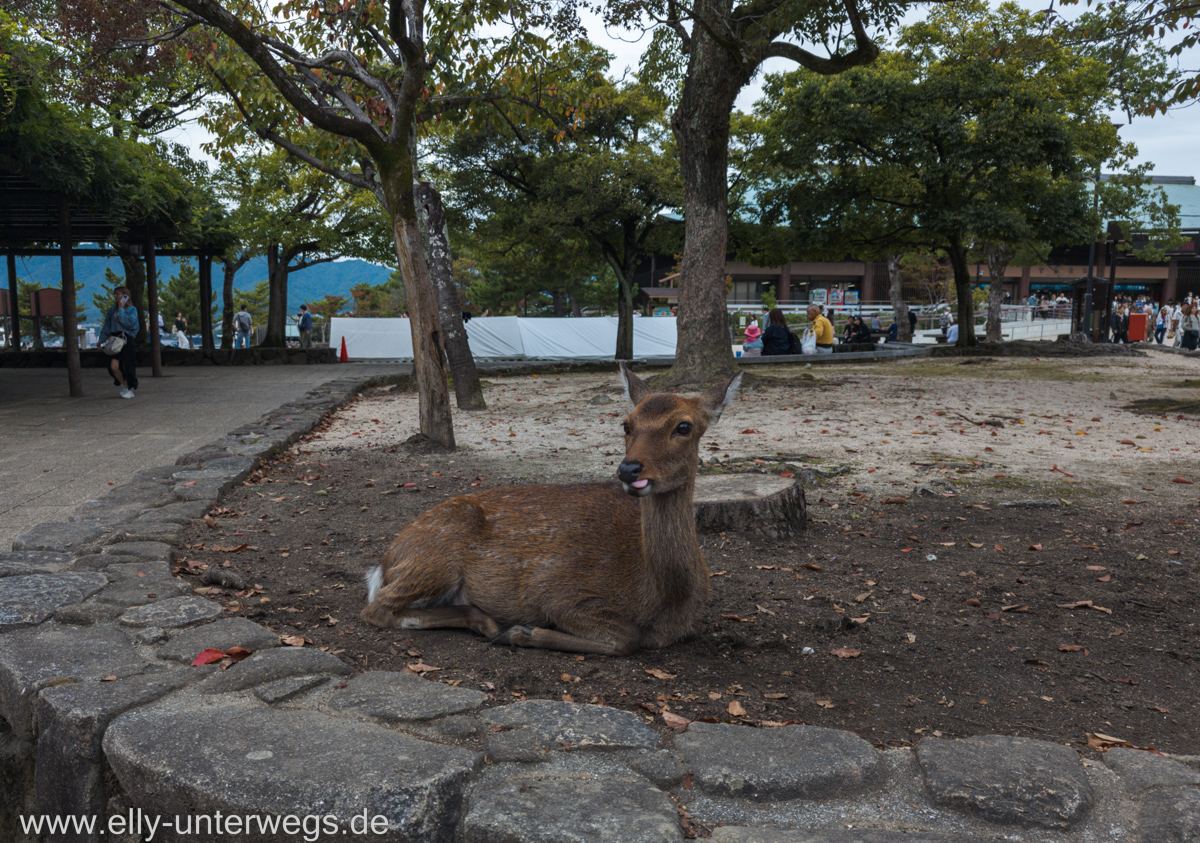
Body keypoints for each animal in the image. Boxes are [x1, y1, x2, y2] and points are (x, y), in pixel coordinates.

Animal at [360, 367, 739, 658]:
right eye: (626, 424)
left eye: (684, 426)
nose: (629, 469)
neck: (663, 599)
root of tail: (385, 561)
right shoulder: (557, 591)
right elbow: (626, 638)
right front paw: (522, 632)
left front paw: (519, 632)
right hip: (437, 551)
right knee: (377, 608)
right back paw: (491, 624)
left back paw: (486, 622)